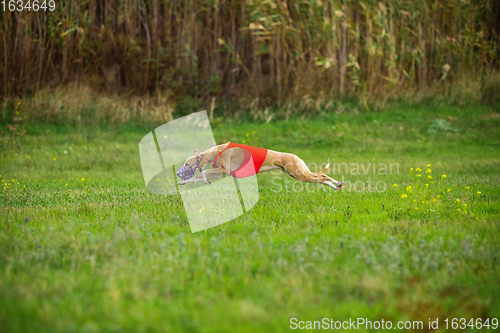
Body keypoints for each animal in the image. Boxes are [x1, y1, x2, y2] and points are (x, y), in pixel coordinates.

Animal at [177, 142, 348, 189]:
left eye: (186, 163)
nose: (178, 173)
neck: (215, 151)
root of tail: (295, 156)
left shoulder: (225, 170)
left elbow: (203, 174)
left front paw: (206, 181)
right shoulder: (220, 173)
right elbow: (197, 177)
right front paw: (183, 182)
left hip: (300, 175)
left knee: (322, 176)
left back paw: (337, 184)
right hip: (296, 174)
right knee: (321, 177)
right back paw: (337, 185)